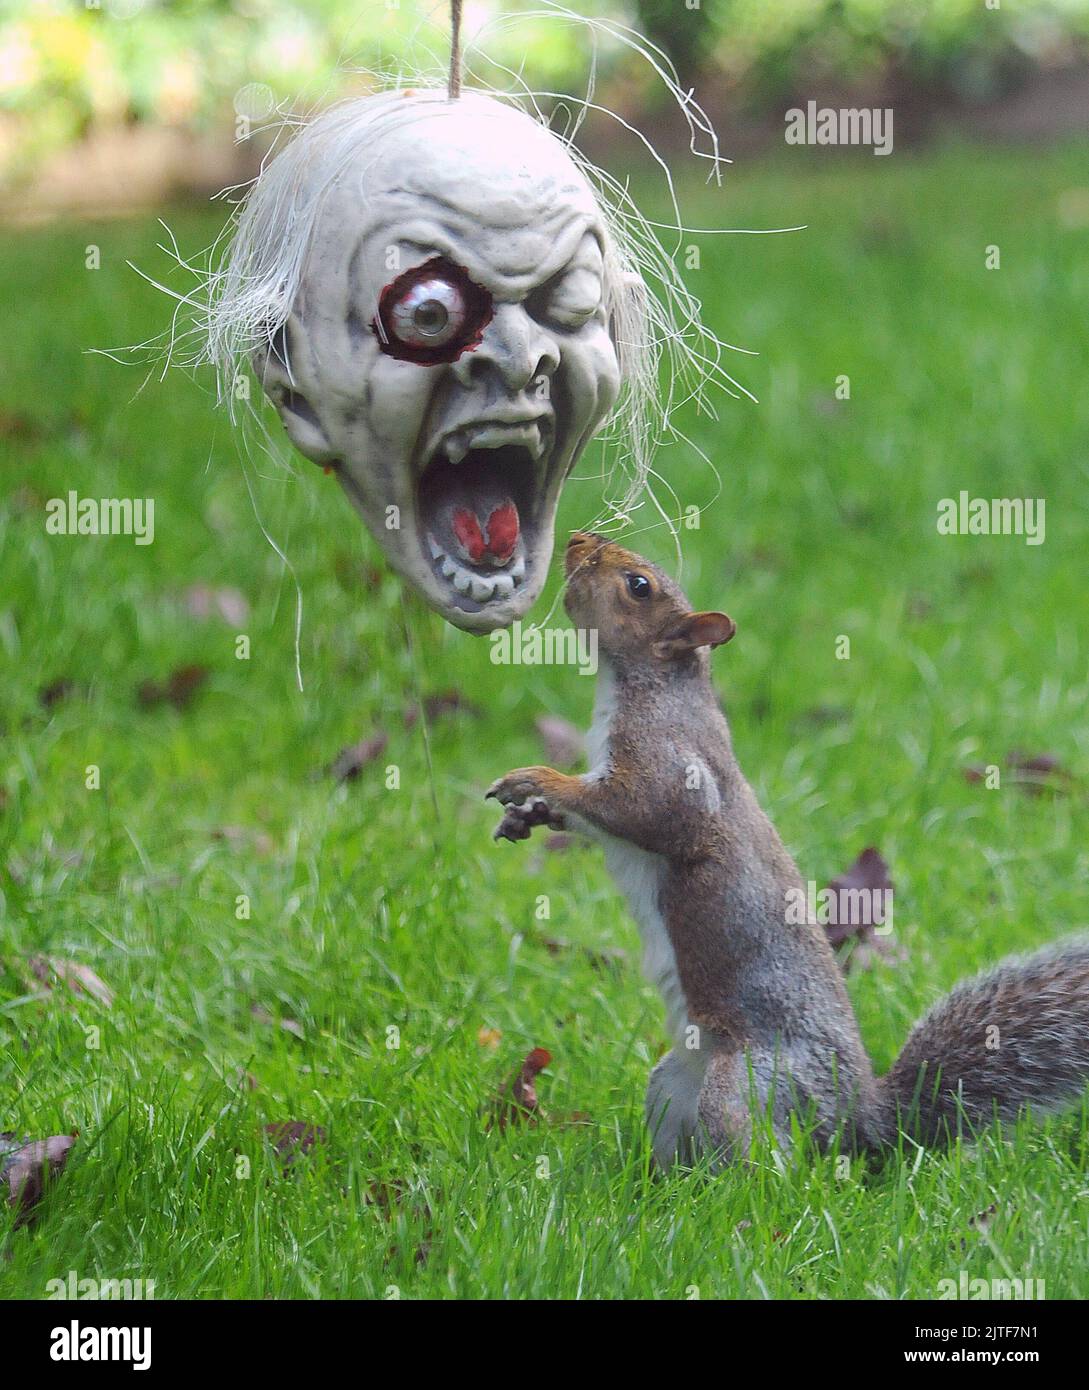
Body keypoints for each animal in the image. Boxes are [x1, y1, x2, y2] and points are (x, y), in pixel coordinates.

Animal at [489, 536, 1089, 1167]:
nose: (579, 540)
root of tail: (863, 1120)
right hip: (675, 1084)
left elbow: (645, 813)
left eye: (639, 586)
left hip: (753, 1083)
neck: (649, 686)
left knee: (762, 1153)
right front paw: (526, 816)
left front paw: (537, 779)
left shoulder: (673, 765)